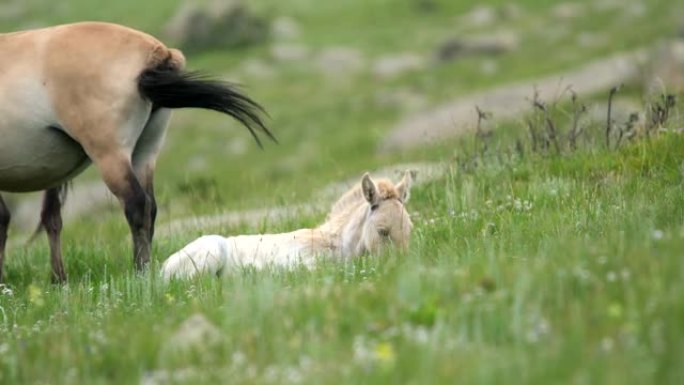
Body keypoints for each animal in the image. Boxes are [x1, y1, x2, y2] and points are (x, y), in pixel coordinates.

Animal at [0, 21, 272, 282]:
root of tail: (157, 52)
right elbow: (43, 217)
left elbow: (5, 219)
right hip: (144, 153)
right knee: (149, 208)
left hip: (110, 155)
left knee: (136, 204)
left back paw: (139, 272)